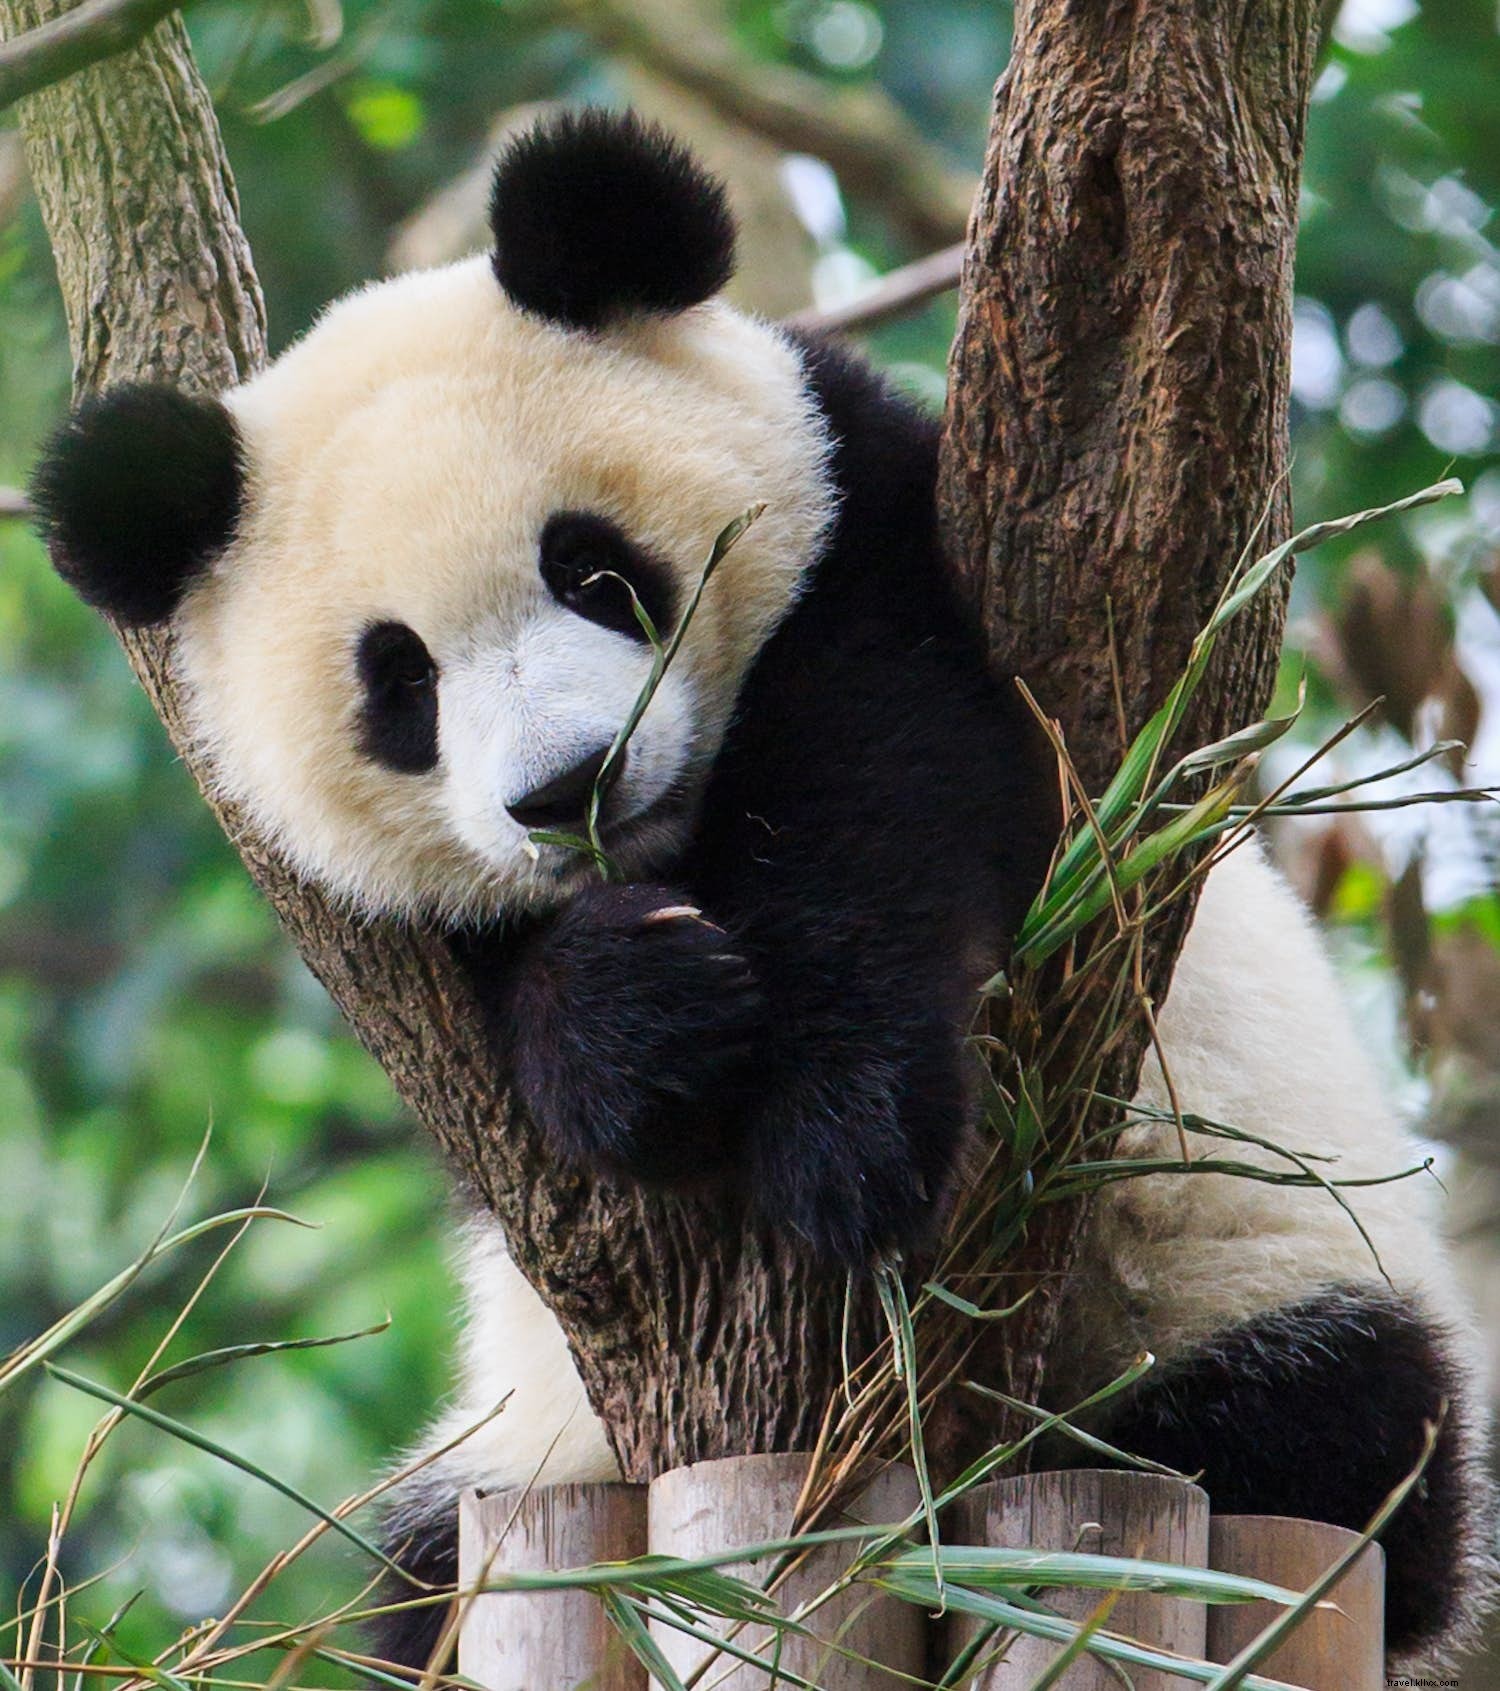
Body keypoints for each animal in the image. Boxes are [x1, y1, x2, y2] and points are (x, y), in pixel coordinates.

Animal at [30, 108, 1493, 1675]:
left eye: (594, 568)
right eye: (400, 681)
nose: (570, 785)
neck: (679, 841)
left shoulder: (878, 531)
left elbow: (894, 778)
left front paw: (843, 1132)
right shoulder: (392, 942)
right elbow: (488, 1012)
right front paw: (634, 1019)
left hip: (1249, 1270)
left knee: (1310, 1431)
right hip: (519, 1457)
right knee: (416, 1588)